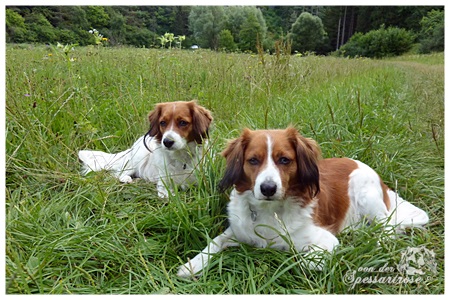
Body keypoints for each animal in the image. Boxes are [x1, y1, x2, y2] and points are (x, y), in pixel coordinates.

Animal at [78, 101, 213, 198]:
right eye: (162, 122)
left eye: (183, 122)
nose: (167, 142)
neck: (180, 157)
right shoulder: (164, 184)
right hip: (138, 157)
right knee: (118, 173)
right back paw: (127, 179)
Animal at [177, 126, 428, 276]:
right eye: (253, 160)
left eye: (284, 160)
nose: (268, 188)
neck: (270, 210)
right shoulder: (238, 231)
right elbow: (214, 242)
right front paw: (191, 265)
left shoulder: (325, 241)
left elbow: (305, 261)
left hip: (365, 193)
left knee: (389, 229)